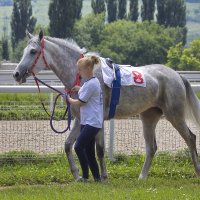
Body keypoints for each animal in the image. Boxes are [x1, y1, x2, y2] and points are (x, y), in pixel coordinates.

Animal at [13, 31, 200, 180]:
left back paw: (197, 170)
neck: (83, 76)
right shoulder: (80, 119)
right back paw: (142, 176)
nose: (16, 74)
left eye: (33, 51)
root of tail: (177, 75)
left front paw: (103, 176)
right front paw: (77, 175)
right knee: (152, 147)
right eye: (24, 51)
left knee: (190, 138)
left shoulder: (99, 120)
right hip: (149, 116)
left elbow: (100, 149)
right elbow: (67, 145)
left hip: (174, 114)